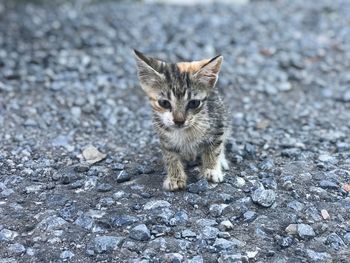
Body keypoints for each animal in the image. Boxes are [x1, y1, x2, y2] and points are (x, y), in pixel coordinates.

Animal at [134, 49, 230, 191]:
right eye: (164, 103)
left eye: (194, 103)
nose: (179, 121)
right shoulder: (165, 137)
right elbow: (170, 156)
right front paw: (175, 177)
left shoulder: (217, 124)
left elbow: (214, 148)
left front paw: (211, 169)